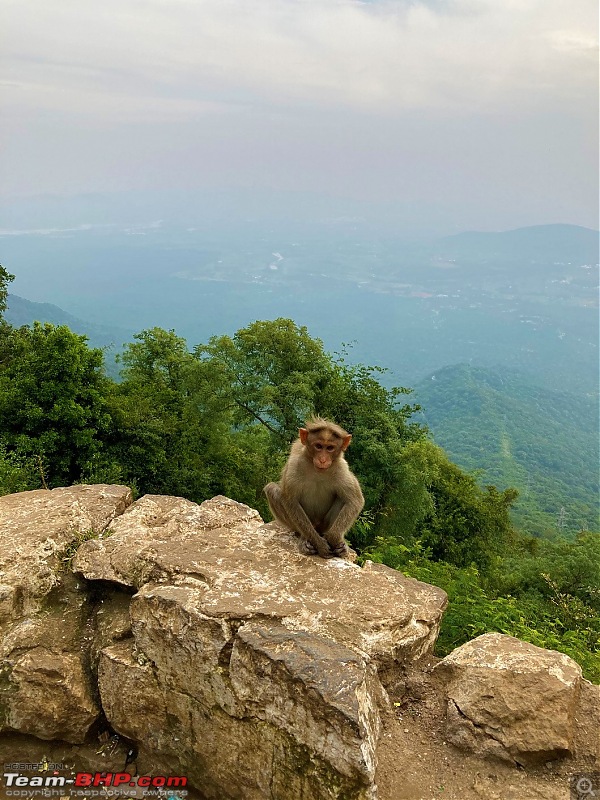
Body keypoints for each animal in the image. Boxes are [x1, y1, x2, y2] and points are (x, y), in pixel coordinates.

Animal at [264, 416, 366, 560]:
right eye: (318, 446)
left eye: (330, 448)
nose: (323, 459)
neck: (318, 470)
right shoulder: (295, 465)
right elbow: (290, 501)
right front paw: (320, 545)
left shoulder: (342, 468)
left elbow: (355, 500)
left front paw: (335, 540)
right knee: (272, 489)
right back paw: (304, 539)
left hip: (324, 525)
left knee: (343, 499)